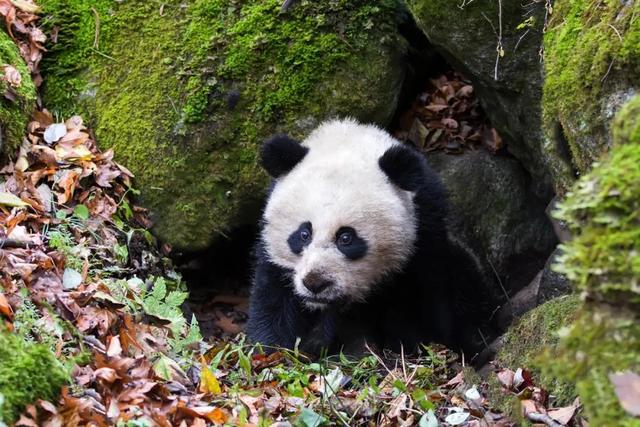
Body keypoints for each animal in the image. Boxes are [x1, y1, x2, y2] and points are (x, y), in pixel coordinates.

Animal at [245, 118, 490, 358]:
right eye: (304, 234)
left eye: (346, 238)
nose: (315, 283)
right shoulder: (273, 255)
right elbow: (272, 298)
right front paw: (272, 350)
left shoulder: (424, 233)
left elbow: (423, 300)